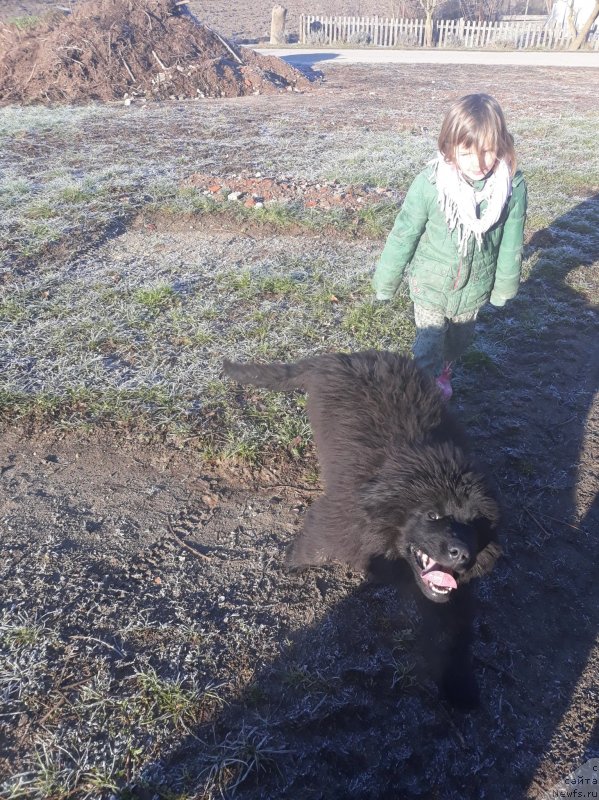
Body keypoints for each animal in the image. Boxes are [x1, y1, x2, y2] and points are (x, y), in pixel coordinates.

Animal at [224, 350, 502, 708]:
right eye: (433, 515)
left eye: (475, 525)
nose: (463, 554)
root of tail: (341, 357)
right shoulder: (339, 520)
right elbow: (312, 545)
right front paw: (290, 565)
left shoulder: (453, 596)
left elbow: (452, 633)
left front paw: (461, 687)